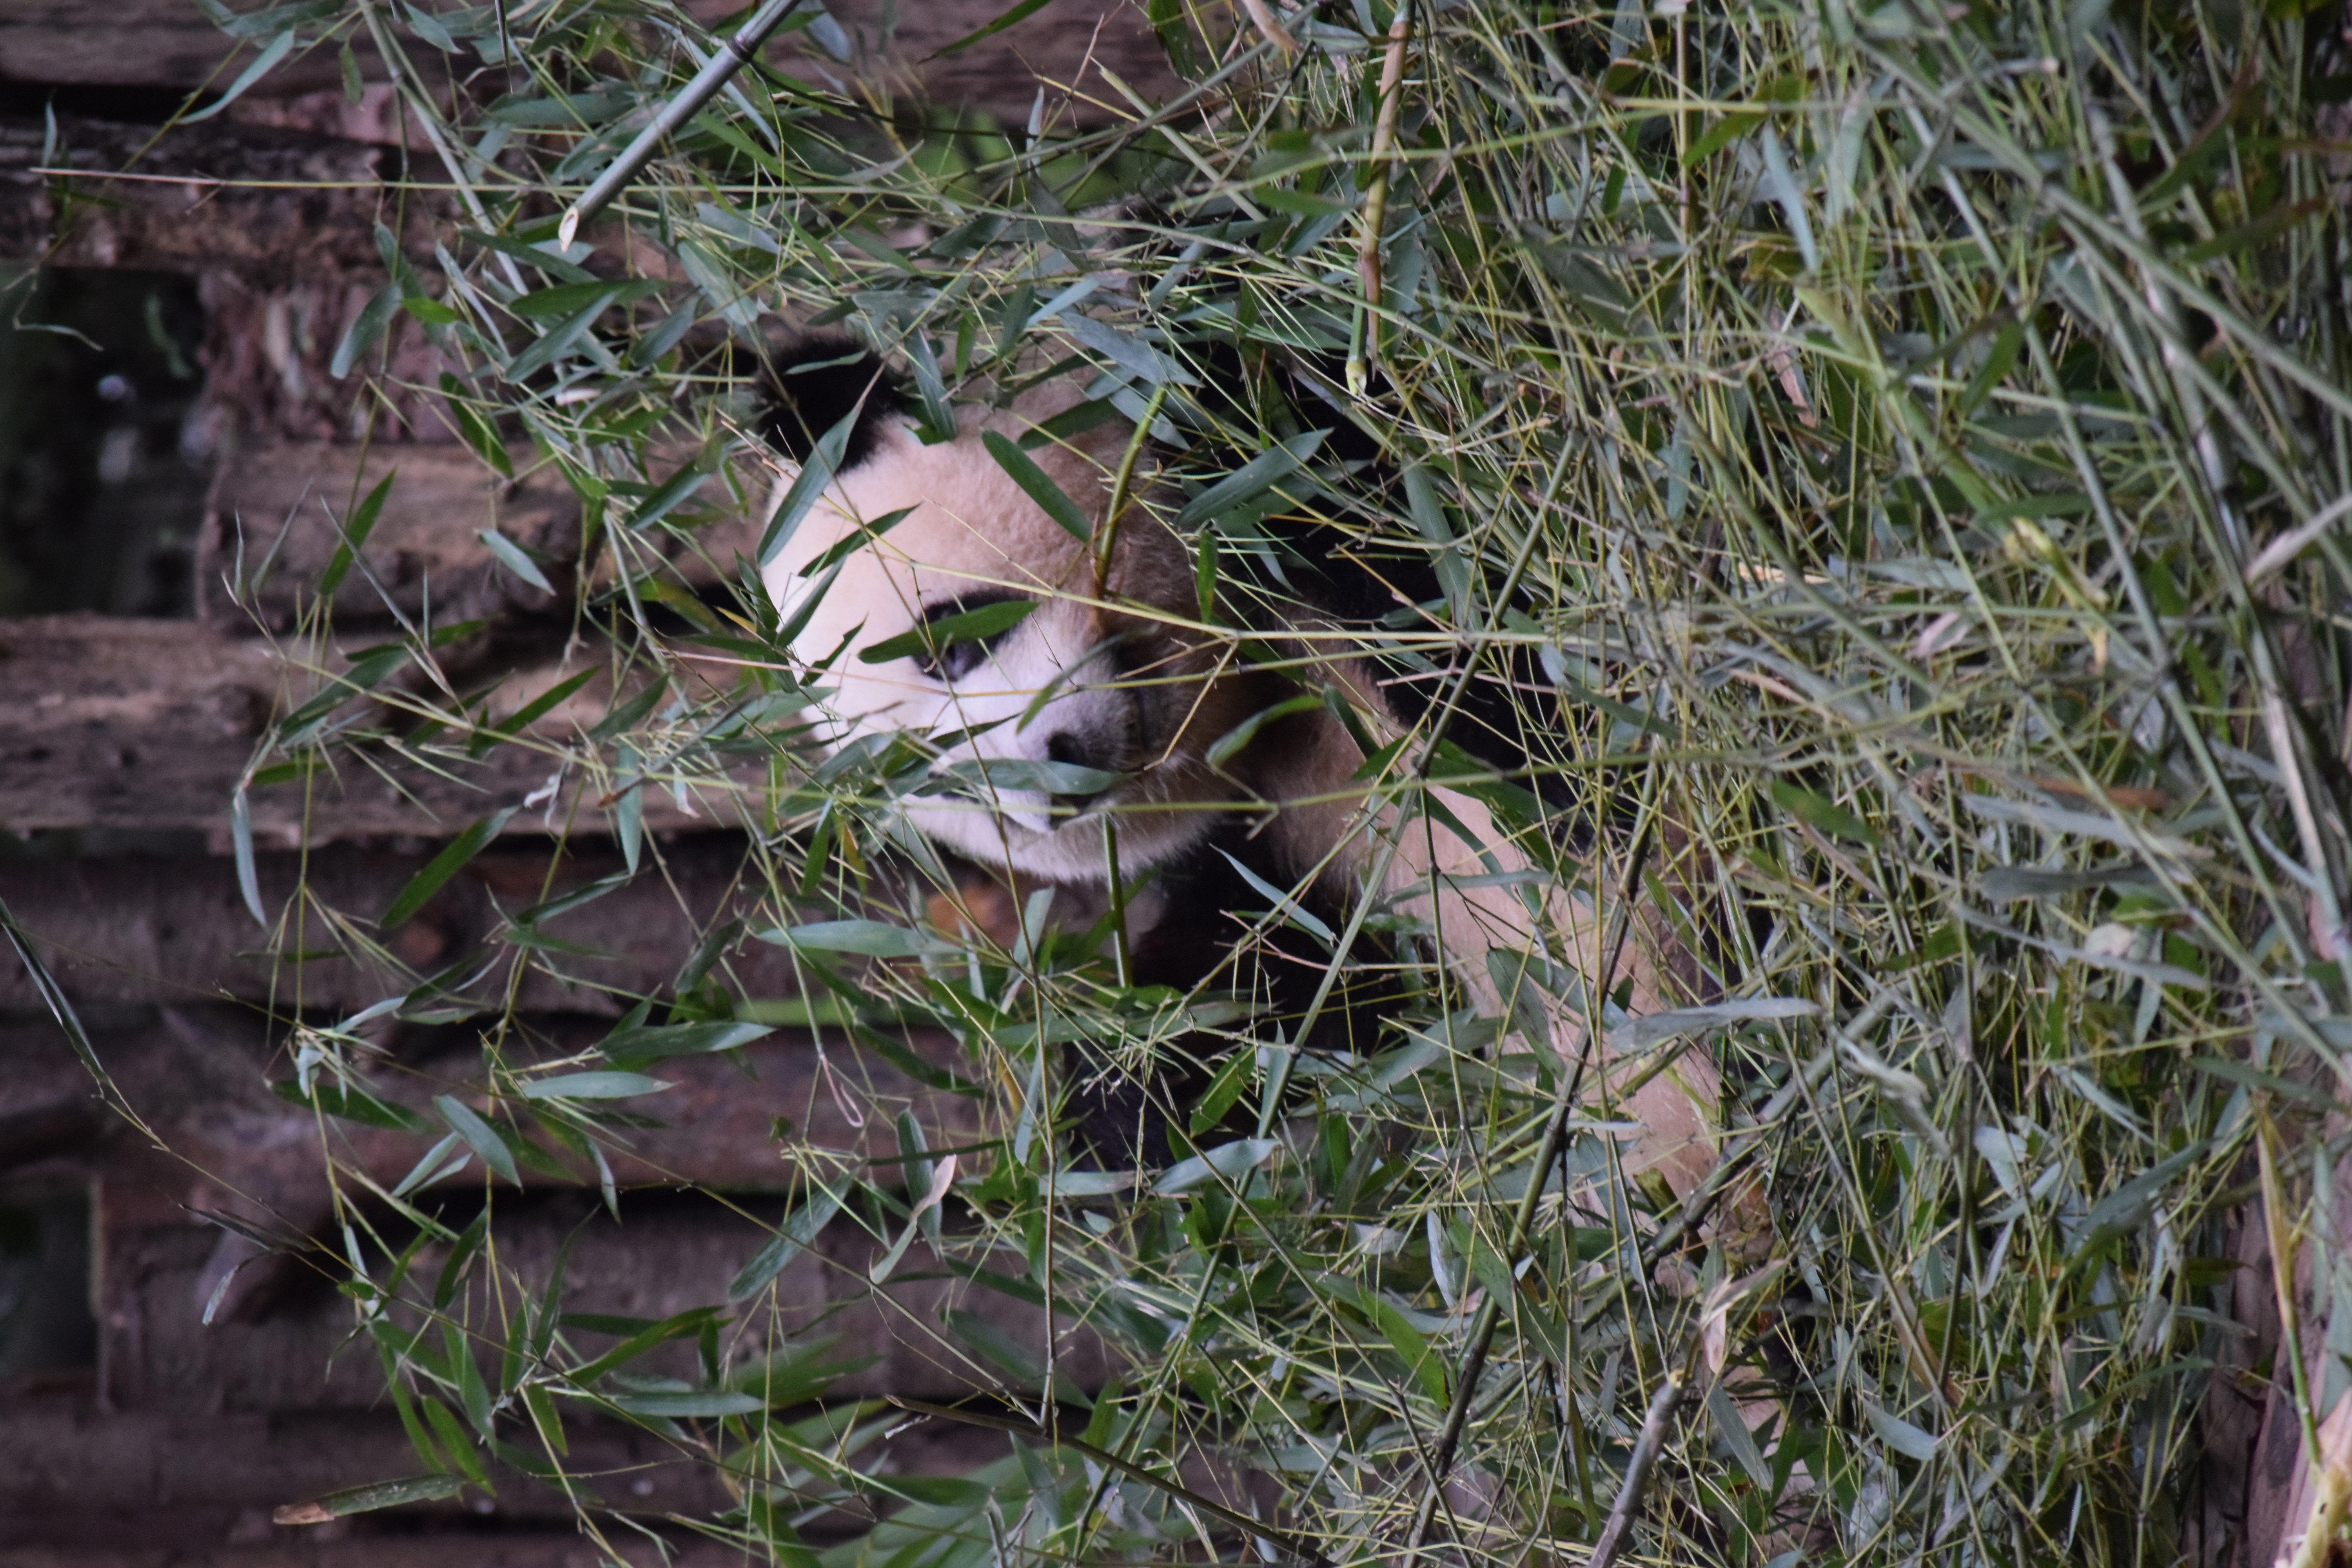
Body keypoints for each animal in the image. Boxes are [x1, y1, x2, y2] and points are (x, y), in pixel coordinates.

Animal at [745, 338, 1720, 1198]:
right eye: (932, 770)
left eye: (950, 645)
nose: (1052, 787)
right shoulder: (1295, 855)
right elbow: (1268, 995)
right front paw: (1116, 1105)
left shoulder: (1278, 463)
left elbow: (1462, 607)